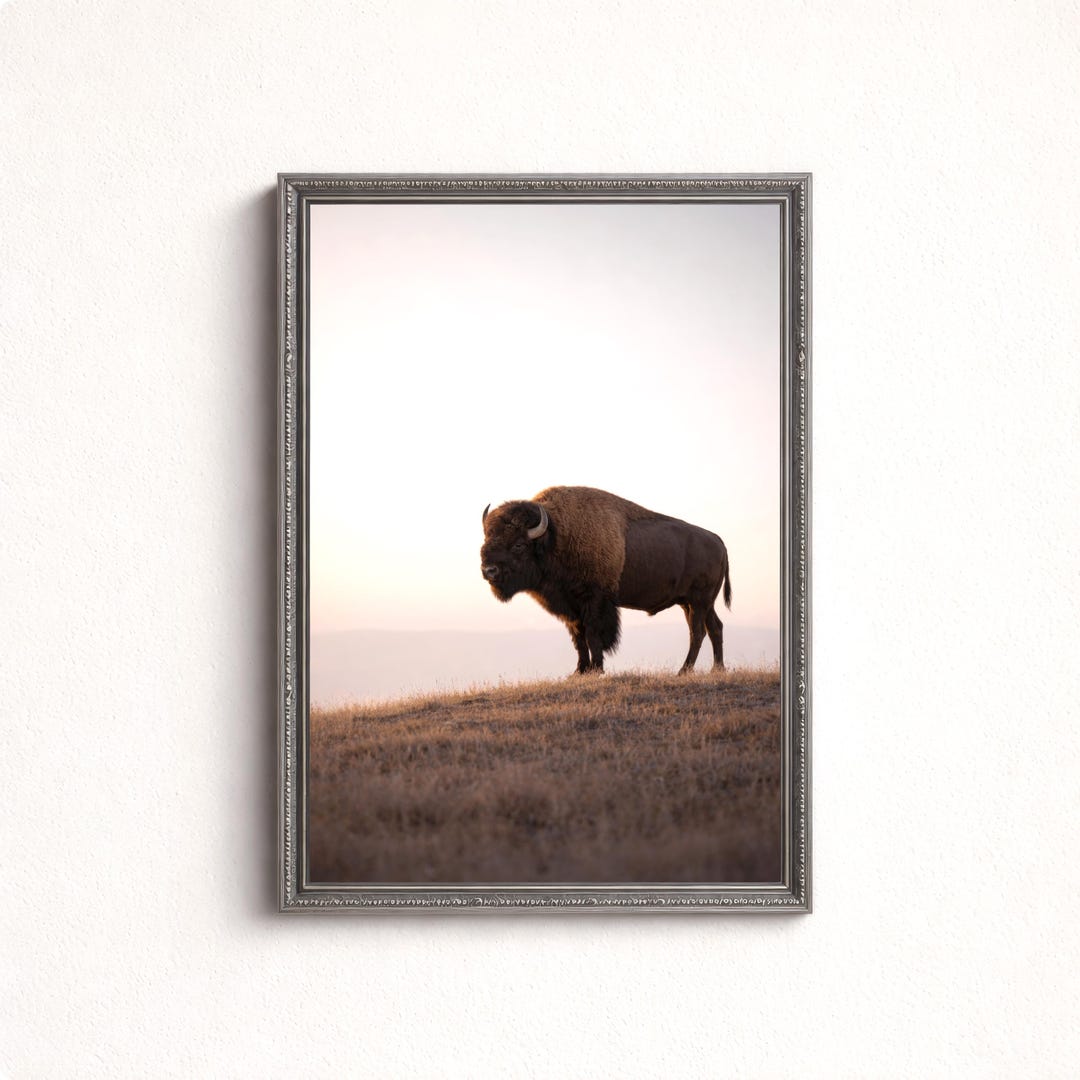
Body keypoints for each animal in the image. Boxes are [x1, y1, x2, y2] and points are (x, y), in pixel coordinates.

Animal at [480, 486, 731, 675]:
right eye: (487, 539)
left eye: (518, 545)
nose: (488, 570)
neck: (556, 536)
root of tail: (718, 540)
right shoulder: (571, 608)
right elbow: (578, 638)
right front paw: (579, 671)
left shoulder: (594, 601)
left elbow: (593, 635)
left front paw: (597, 669)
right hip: (695, 603)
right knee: (715, 628)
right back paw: (717, 669)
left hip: (697, 602)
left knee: (697, 632)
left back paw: (684, 671)